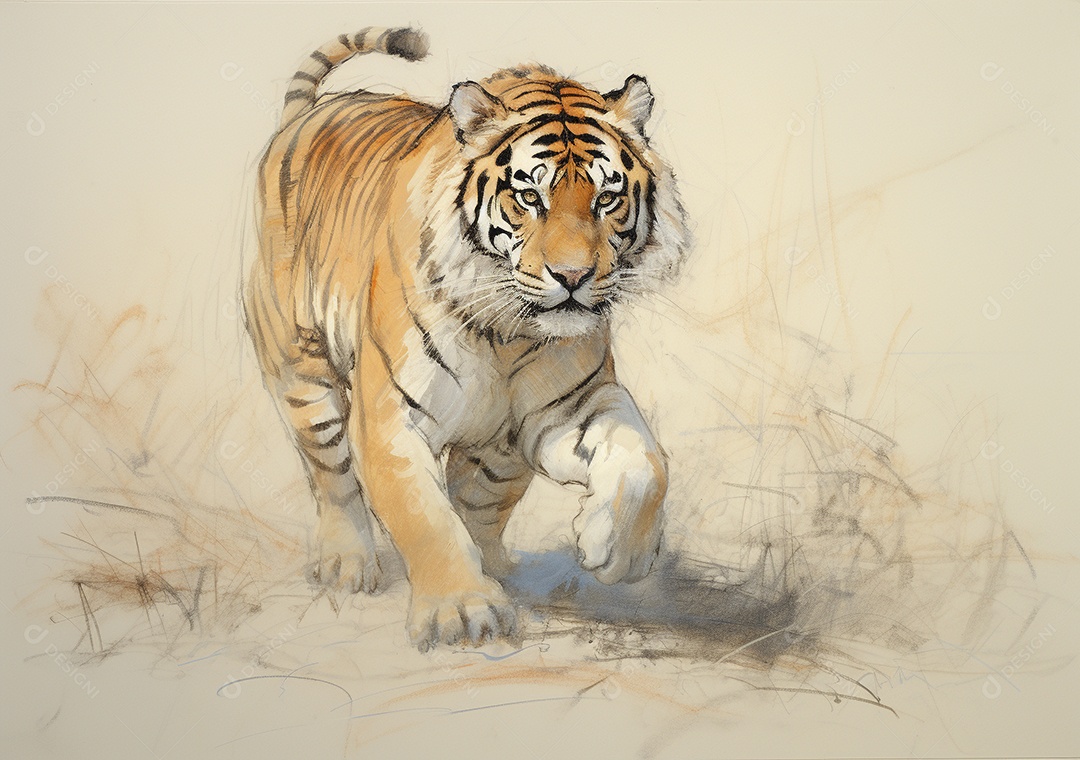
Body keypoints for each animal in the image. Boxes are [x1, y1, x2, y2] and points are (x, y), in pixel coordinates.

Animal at [243, 25, 690, 650]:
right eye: (529, 197)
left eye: (607, 198)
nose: (573, 277)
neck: (508, 331)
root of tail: (305, 114)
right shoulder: (391, 420)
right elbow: (425, 517)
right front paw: (461, 610)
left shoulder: (569, 408)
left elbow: (646, 459)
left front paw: (617, 553)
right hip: (300, 369)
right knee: (332, 475)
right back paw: (348, 565)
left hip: (497, 453)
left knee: (478, 501)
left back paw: (501, 568)